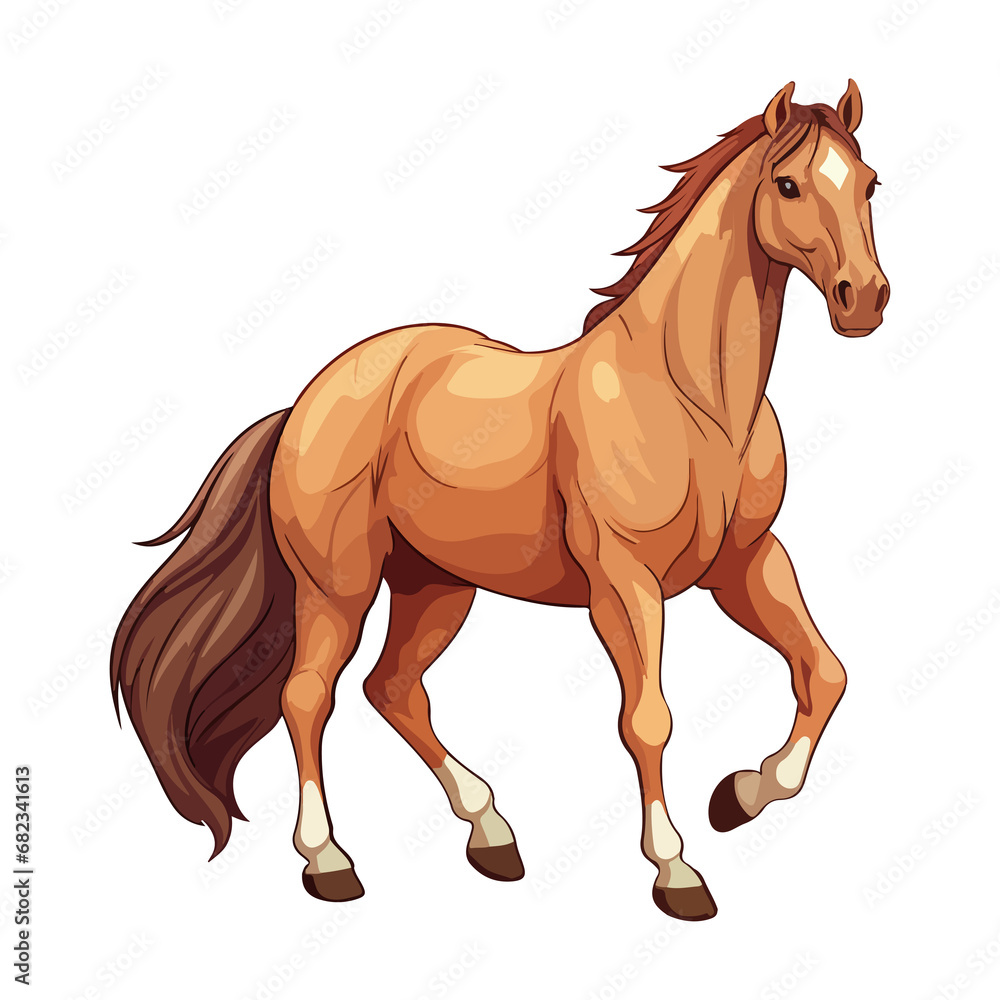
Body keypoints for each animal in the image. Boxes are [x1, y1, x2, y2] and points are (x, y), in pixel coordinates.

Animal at [111, 80, 889, 921]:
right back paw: (329, 862)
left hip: (436, 585)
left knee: (393, 689)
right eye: (788, 185)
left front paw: (739, 796)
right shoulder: (626, 584)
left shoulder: (745, 564)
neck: (692, 404)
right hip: (339, 586)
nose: (865, 300)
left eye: (869, 182)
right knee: (308, 696)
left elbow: (825, 672)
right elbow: (648, 719)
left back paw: (491, 833)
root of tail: (307, 401)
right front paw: (676, 872)